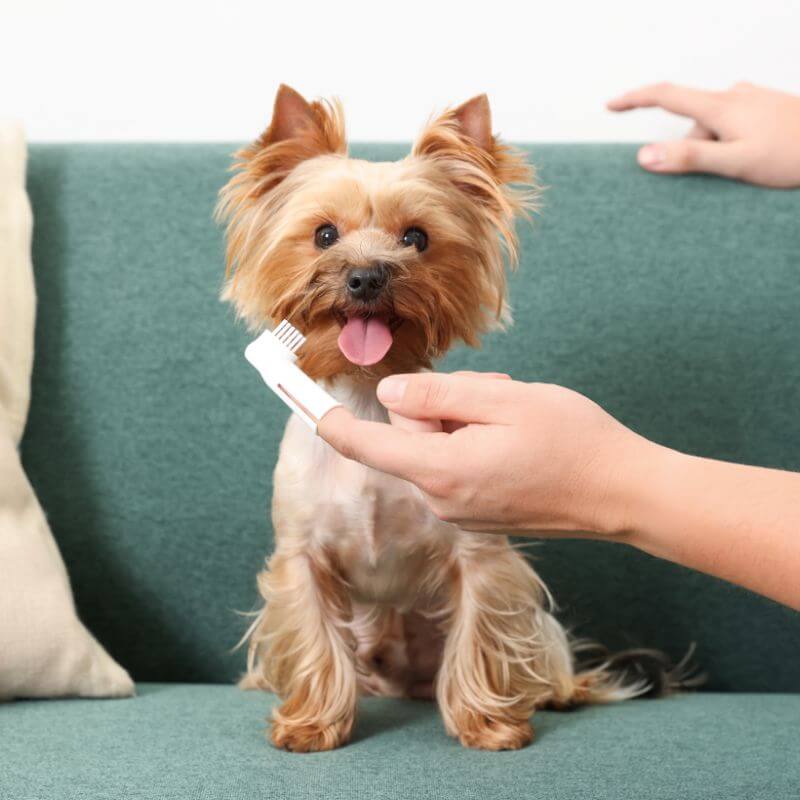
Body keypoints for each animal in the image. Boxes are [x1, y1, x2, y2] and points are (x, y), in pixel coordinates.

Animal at [217, 86, 664, 752]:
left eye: (416, 238)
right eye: (323, 233)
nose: (366, 276)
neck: (366, 395)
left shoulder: (479, 552)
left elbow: (481, 629)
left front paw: (487, 723)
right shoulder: (302, 556)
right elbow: (313, 635)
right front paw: (312, 724)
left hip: (535, 632)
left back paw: (554, 691)